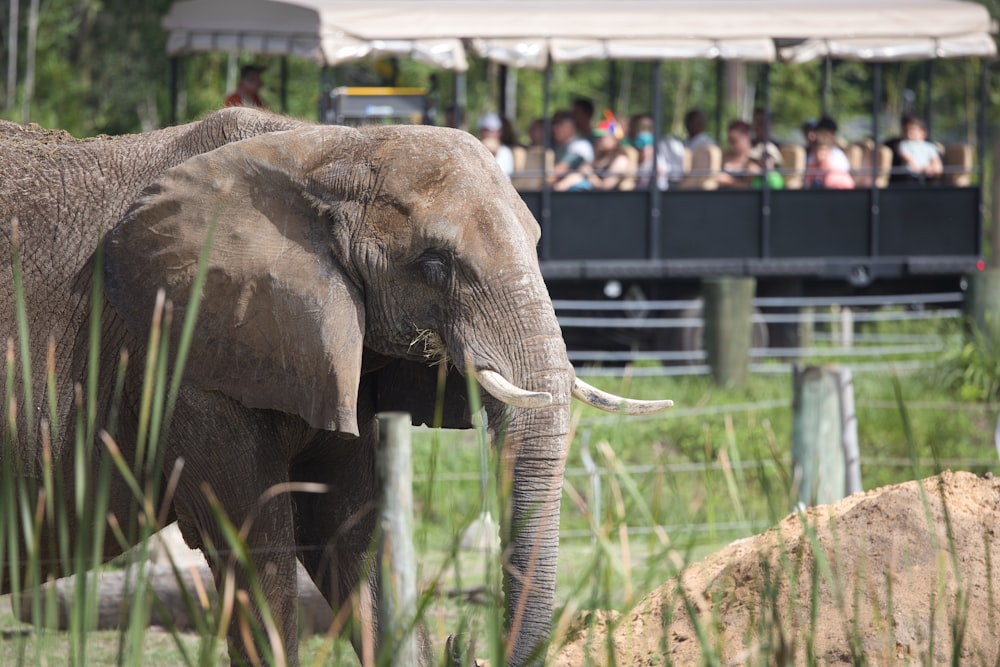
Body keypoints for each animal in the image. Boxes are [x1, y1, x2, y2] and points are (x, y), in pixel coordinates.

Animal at [1, 107, 672, 664]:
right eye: (435, 264)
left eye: (536, 243)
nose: (465, 644)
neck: (326, 149)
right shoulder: (186, 348)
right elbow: (255, 556)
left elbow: (354, 541)